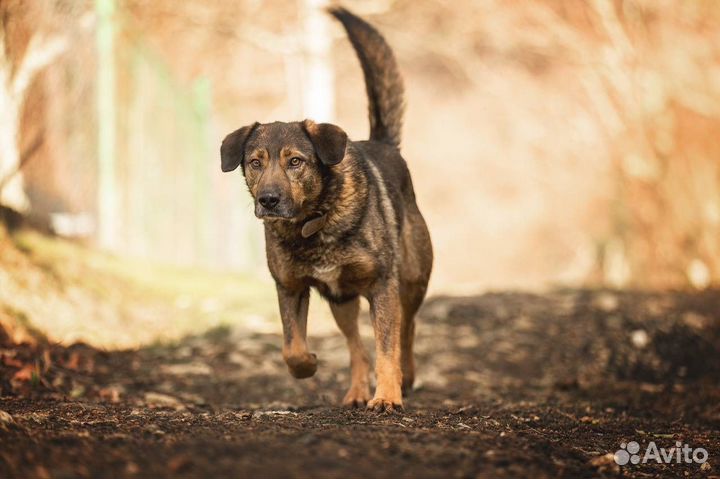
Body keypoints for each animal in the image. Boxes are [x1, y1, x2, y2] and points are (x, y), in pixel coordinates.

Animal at [222, 6, 430, 412]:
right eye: (255, 162)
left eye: (296, 162)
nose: (268, 200)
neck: (314, 222)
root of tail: (386, 144)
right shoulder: (290, 287)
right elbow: (292, 348)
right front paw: (309, 364)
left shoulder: (382, 286)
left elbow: (387, 349)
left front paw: (387, 396)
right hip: (342, 302)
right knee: (356, 347)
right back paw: (357, 391)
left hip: (412, 282)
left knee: (406, 331)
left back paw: (405, 378)